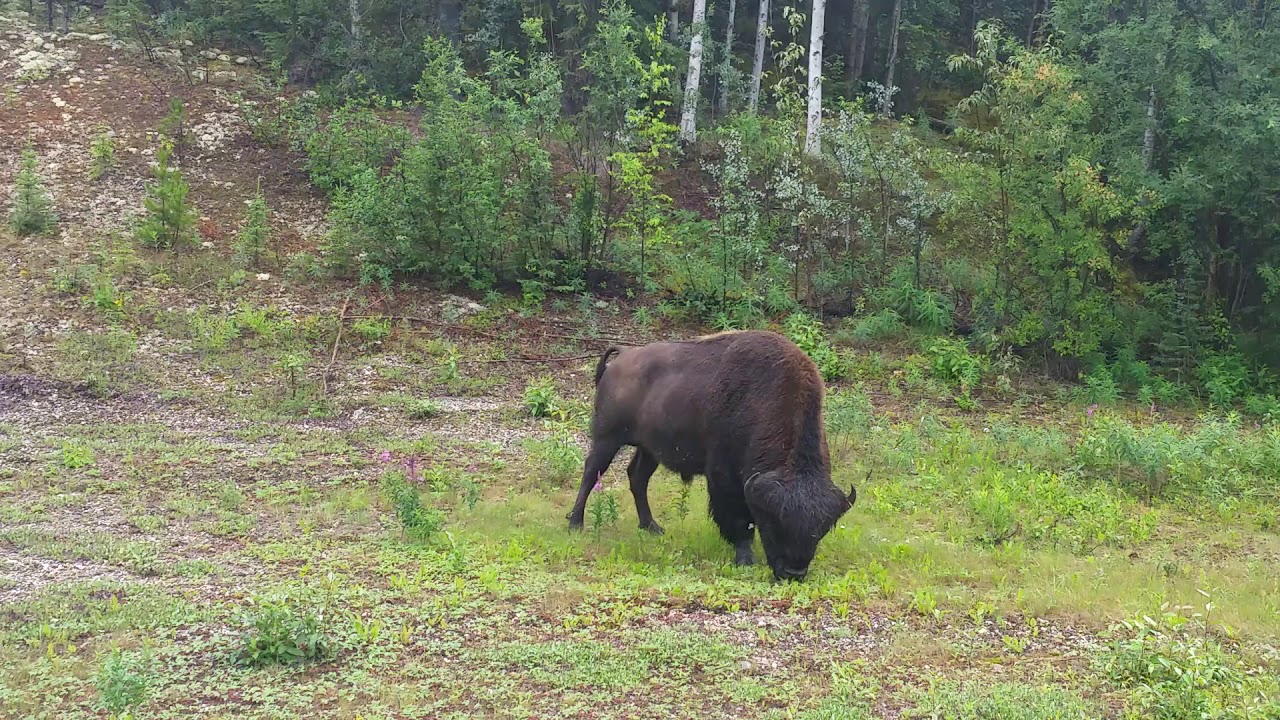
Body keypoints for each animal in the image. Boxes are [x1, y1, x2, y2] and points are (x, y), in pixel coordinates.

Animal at [565, 330, 856, 581]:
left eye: (820, 531)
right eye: (773, 525)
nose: (793, 573)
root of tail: (622, 357)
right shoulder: (724, 478)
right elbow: (739, 520)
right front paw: (745, 559)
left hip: (649, 449)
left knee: (637, 477)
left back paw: (652, 527)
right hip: (607, 438)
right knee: (591, 472)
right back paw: (575, 524)